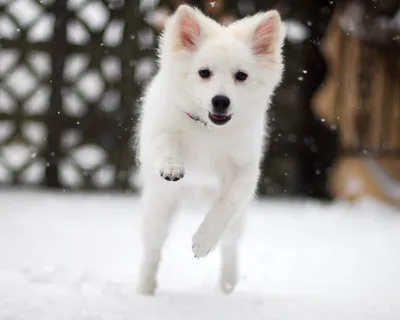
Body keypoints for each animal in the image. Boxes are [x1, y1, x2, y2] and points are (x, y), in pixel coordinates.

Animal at [136, 4, 286, 296]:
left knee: (229, 244)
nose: (220, 101)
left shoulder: (246, 170)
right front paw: (172, 166)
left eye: (241, 76)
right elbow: (166, 142)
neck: (208, 129)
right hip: (157, 209)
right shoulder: (158, 133)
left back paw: (227, 284)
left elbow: (225, 203)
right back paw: (145, 289)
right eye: (204, 73)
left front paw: (203, 241)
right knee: (152, 250)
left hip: (237, 221)